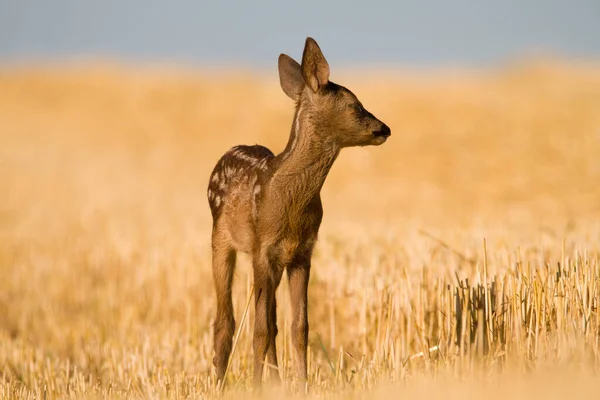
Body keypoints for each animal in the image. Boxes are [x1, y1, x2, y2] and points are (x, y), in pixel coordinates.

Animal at [209, 38, 392, 388]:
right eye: (355, 105)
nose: (384, 129)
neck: (292, 204)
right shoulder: (262, 249)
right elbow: (259, 329)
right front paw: (256, 387)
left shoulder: (303, 252)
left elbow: (298, 326)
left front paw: (301, 384)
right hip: (220, 240)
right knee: (226, 320)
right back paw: (220, 384)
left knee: (272, 320)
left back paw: (274, 379)